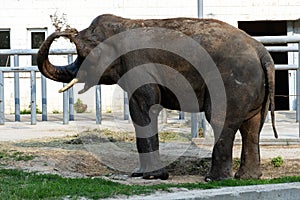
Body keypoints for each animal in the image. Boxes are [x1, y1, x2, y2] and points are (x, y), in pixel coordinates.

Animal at [37, 14, 276, 181]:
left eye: (84, 55)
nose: (68, 31)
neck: (123, 24)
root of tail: (262, 53)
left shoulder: (137, 65)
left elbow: (143, 109)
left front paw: (151, 176)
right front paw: (139, 174)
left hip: (231, 84)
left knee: (220, 120)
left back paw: (213, 179)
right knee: (252, 127)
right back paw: (247, 177)